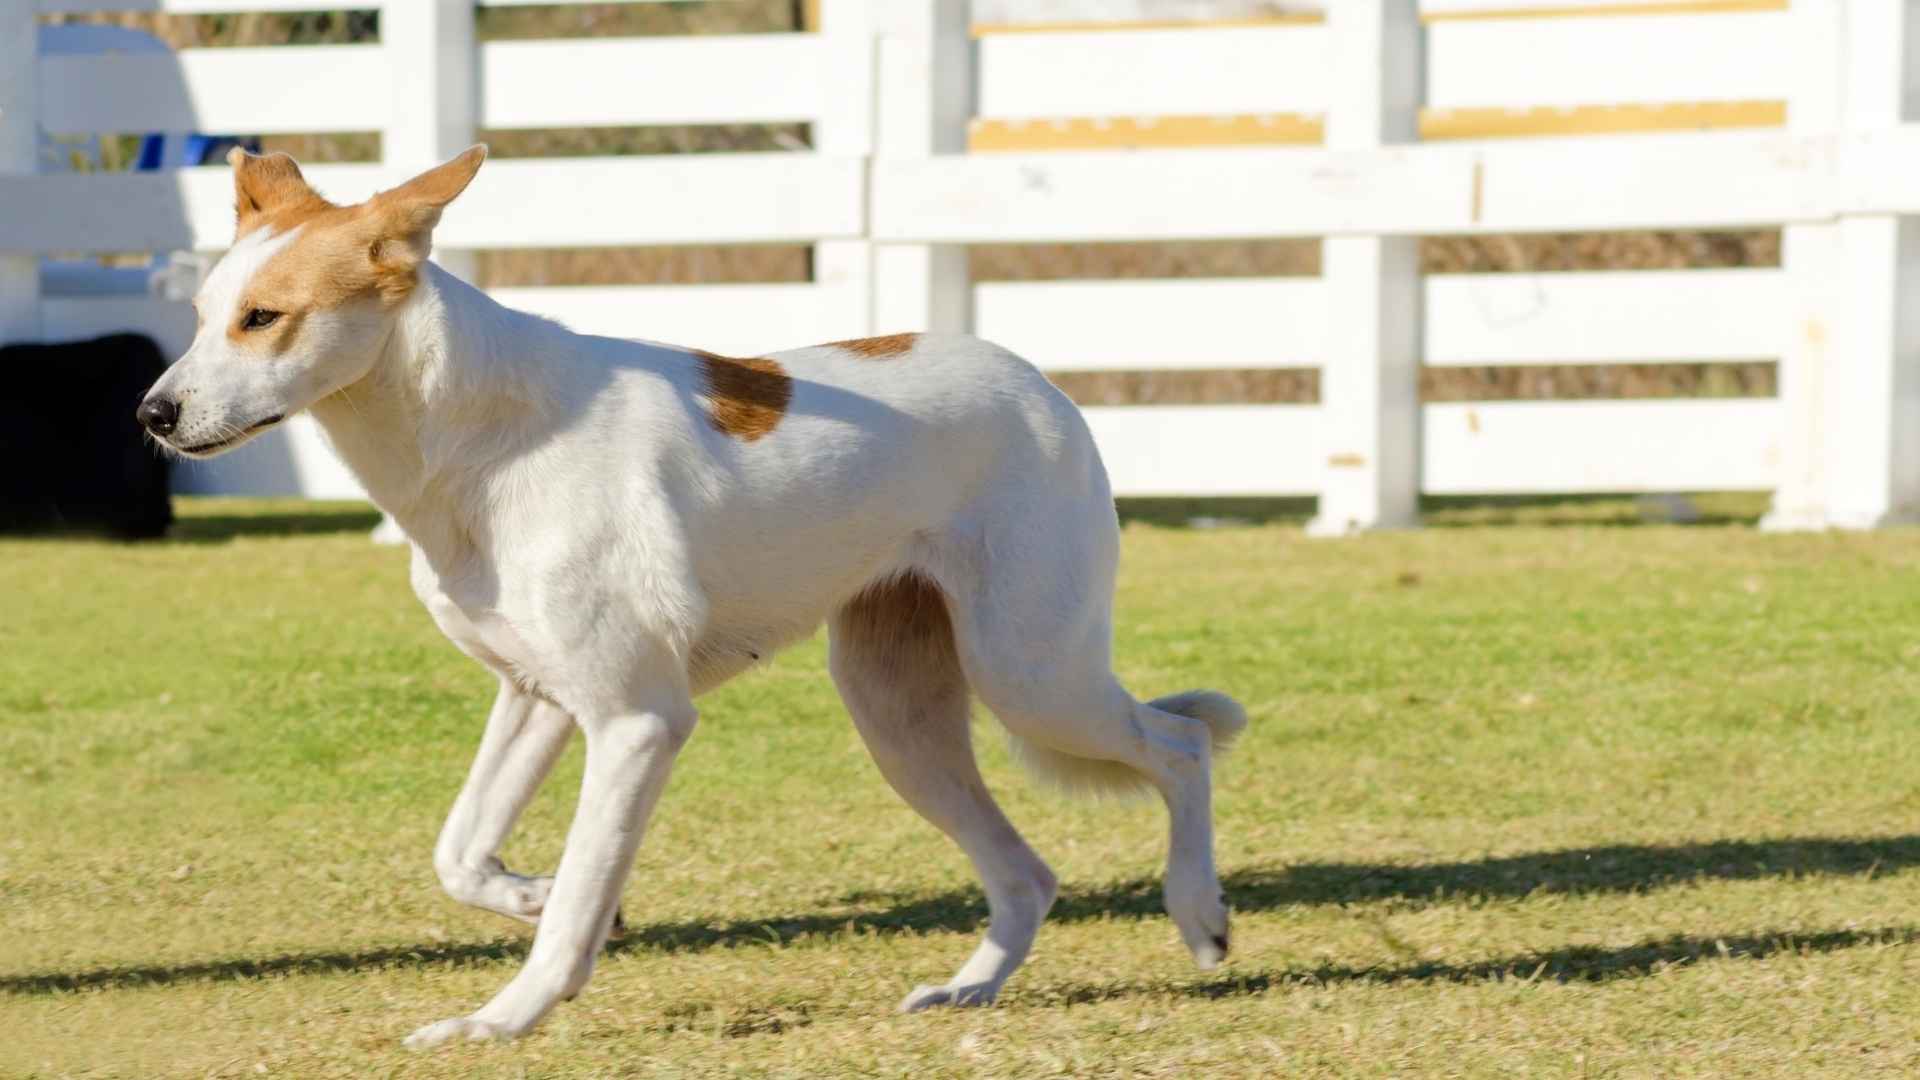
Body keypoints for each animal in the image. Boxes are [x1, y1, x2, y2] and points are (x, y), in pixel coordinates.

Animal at [135, 147, 1244, 1045]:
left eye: (264, 318)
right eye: (200, 320)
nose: (153, 414)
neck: (480, 437)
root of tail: (1041, 383)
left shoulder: (637, 722)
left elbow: (577, 897)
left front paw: (503, 1017)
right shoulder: (538, 698)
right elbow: (462, 853)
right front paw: (537, 899)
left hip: (1032, 672)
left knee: (1181, 744)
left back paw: (1199, 915)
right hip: (899, 718)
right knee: (1027, 874)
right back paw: (968, 990)